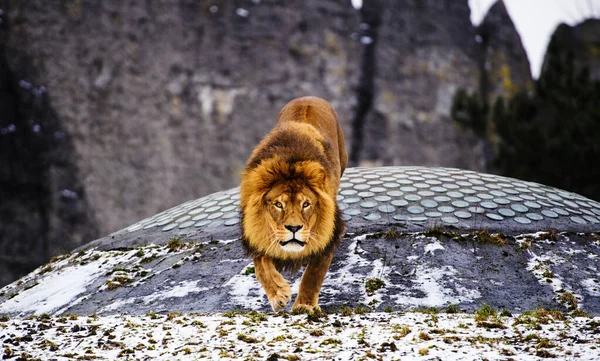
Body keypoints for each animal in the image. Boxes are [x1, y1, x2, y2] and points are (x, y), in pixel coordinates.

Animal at [240, 96, 346, 312]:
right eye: (278, 205)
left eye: (306, 204)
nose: (294, 228)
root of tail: (308, 97)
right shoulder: (256, 235)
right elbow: (262, 267)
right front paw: (278, 294)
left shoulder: (328, 235)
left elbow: (313, 274)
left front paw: (304, 305)